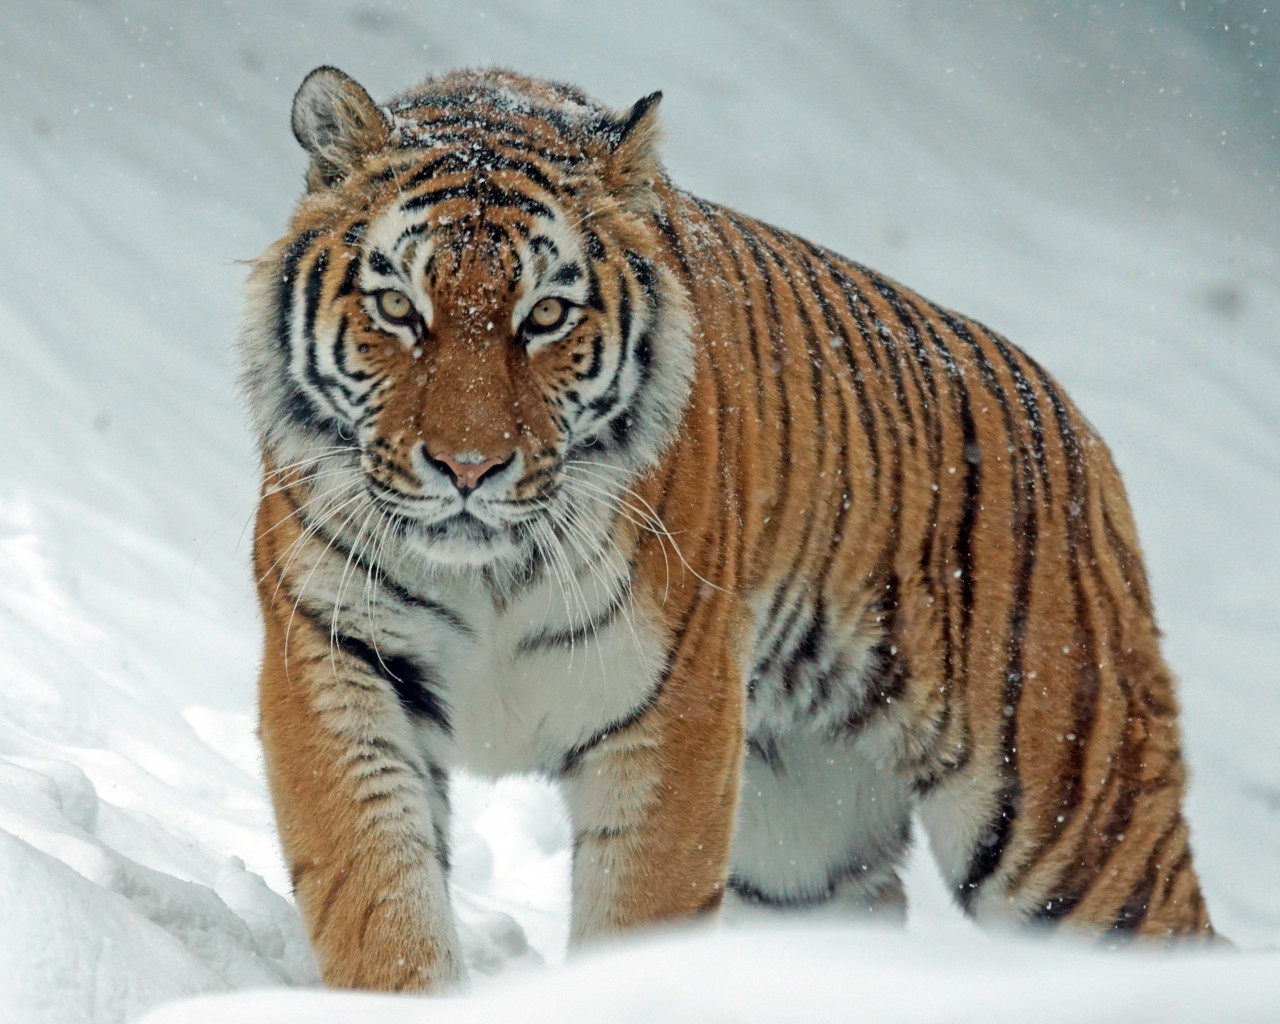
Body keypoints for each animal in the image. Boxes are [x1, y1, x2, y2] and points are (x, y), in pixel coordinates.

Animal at [240, 64, 1216, 992]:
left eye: (545, 315)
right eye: (398, 308)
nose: (470, 468)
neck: (489, 573)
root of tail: (1080, 431)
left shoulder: (676, 714)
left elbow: (638, 917)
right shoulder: (336, 659)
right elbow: (378, 897)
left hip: (1072, 821)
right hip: (805, 848)